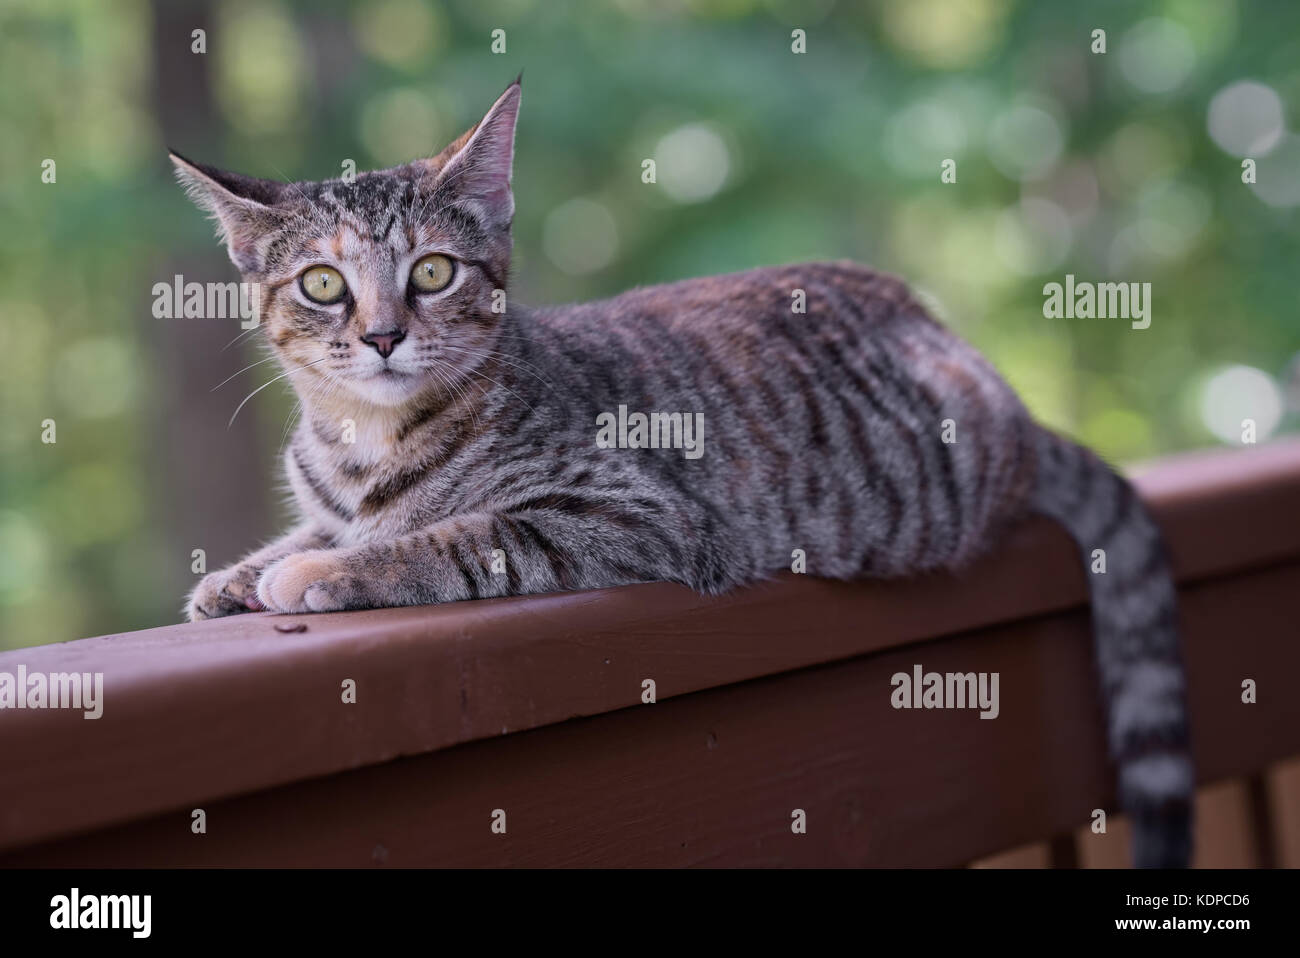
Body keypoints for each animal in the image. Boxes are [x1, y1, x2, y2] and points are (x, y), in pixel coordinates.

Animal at [178, 78, 1190, 863]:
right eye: (321, 285)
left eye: (432, 272)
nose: (384, 336)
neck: (366, 441)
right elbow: (318, 523)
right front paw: (239, 574)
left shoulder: (630, 514)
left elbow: (441, 539)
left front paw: (318, 570)